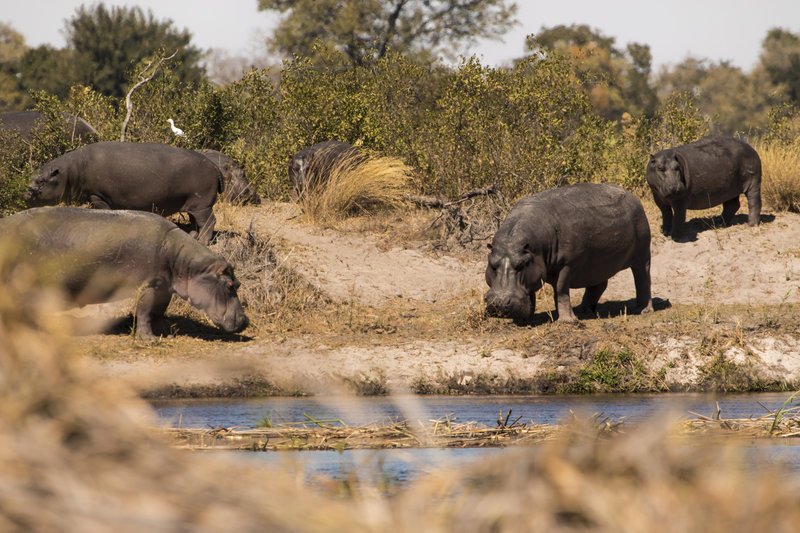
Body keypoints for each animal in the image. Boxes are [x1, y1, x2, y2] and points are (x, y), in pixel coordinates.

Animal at [0, 206, 248, 338]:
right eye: (230, 285)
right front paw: (150, 340)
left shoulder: (163, 287)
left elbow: (158, 311)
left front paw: (163, 331)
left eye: (238, 284)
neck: (185, 262)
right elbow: (145, 311)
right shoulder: (148, 286)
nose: (245, 321)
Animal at [25, 140, 222, 242]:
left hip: (202, 203)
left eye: (41, 181)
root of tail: (215, 167)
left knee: (209, 222)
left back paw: (203, 242)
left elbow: (102, 210)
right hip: (192, 203)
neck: (71, 172)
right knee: (195, 222)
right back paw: (192, 237)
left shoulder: (97, 196)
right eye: (32, 175)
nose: (26, 193)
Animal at [484, 183, 652, 322]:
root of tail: (632, 196)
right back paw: (584, 310)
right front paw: (526, 319)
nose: (499, 303)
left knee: (642, 278)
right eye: (492, 264)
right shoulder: (533, 266)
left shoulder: (566, 264)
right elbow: (531, 292)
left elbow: (561, 290)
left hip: (642, 254)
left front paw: (568, 321)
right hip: (597, 262)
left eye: (520, 265)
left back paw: (643, 310)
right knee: (598, 284)